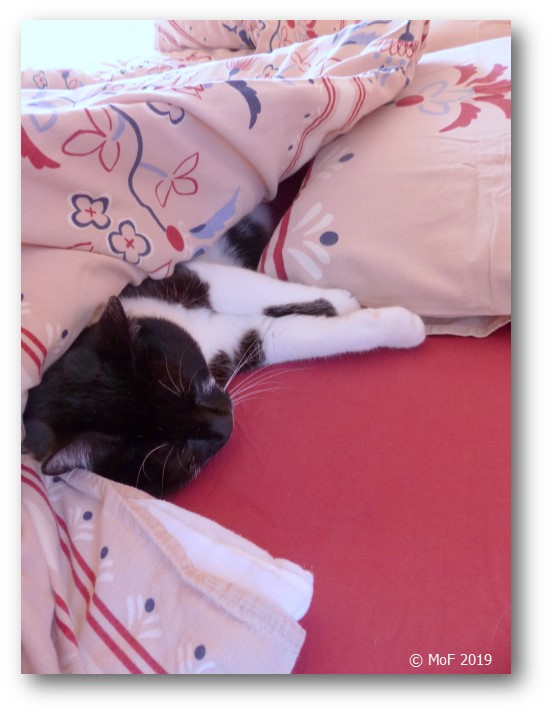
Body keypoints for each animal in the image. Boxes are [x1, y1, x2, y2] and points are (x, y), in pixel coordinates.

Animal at [22, 206, 426, 497]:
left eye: (193, 386)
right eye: (180, 452)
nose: (224, 424)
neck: (200, 337)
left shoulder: (184, 276)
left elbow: (254, 288)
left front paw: (344, 301)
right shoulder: (247, 340)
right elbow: (292, 333)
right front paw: (400, 325)